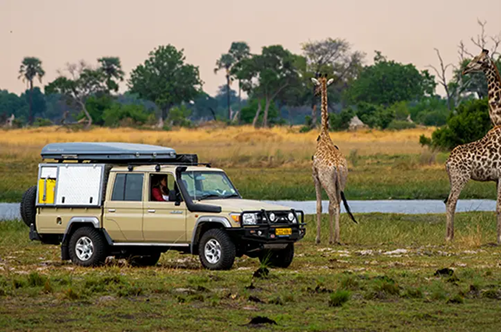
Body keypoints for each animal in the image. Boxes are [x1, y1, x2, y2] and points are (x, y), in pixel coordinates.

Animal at [308, 74, 356, 244]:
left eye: (316, 86)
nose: (315, 93)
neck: (324, 134)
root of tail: (336, 165)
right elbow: (328, 206)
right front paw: (329, 237)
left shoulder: (315, 177)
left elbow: (319, 206)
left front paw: (318, 238)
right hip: (342, 180)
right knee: (338, 204)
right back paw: (337, 238)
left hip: (327, 181)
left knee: (334, 203)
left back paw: (335, 239)